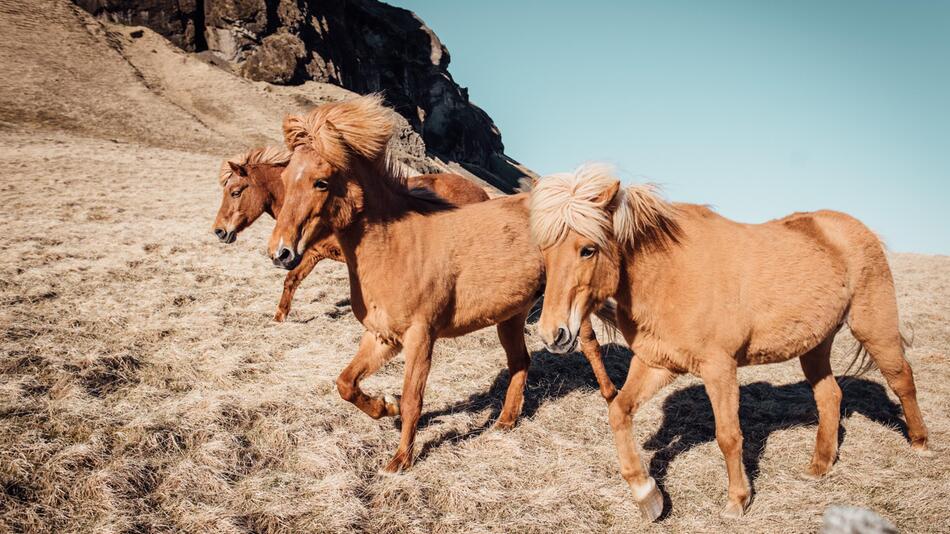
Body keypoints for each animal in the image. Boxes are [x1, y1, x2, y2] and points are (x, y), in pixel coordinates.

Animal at [214, 146, 490, 322]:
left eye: (235, 192)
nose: (219, 231)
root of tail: (481, 193)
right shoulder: (313, 254)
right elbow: (292, 280)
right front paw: (279, 317)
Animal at [268, 96, 620, 474]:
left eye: (320, 182)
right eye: (285, 177)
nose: (280, 252)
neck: (395, 246)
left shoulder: (421, 337)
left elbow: (413, 399)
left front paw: (400, 460)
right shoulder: (381, 336)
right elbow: (345, 384)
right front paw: (385, 406)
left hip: (566, 307)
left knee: (588, 344)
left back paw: (610, 396)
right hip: (510, 316)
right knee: (520, 362)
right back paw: (505, 422)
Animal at [532, 164, 932, 524]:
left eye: (587, 249)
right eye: (545, 251)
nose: (554, 334)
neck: (670, 274)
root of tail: (855, 228)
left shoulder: (719, 368)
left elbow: (728, 436)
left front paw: (737, 501)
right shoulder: (656, 363)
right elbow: (619, 411)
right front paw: (647, 495)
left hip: (874, 327)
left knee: (901, 379)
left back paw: (920, 443)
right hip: (815, 344)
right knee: (830, 396)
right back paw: (819, 465)